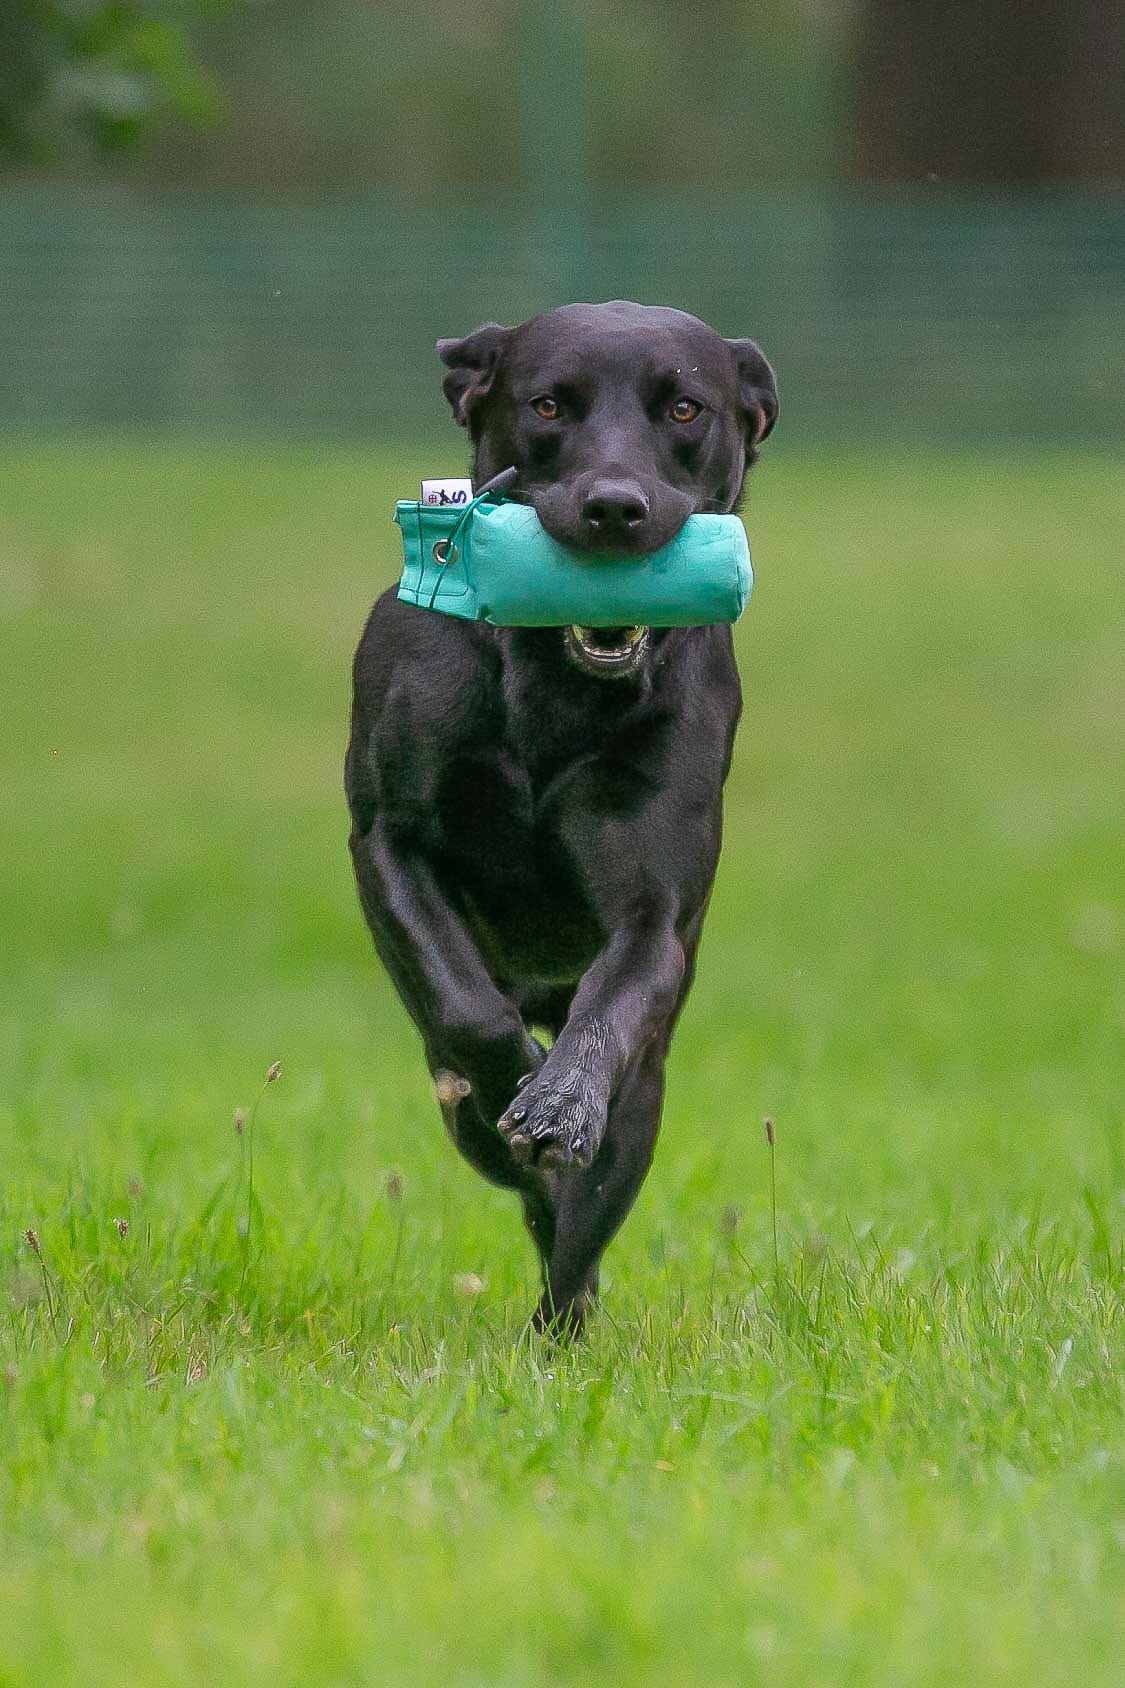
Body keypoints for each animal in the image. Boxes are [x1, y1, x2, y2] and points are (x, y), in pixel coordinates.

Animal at [346, 300, 777, 1330]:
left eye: (684, 408)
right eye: (546, 405)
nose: (614, 508)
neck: (552, 684)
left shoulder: (652, 917)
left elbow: (611, 1004)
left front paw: (557, 1099)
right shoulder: (388, 843)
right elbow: (465, 1007)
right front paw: (515, 1075)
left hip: (647, 1097)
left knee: (578, 1239)